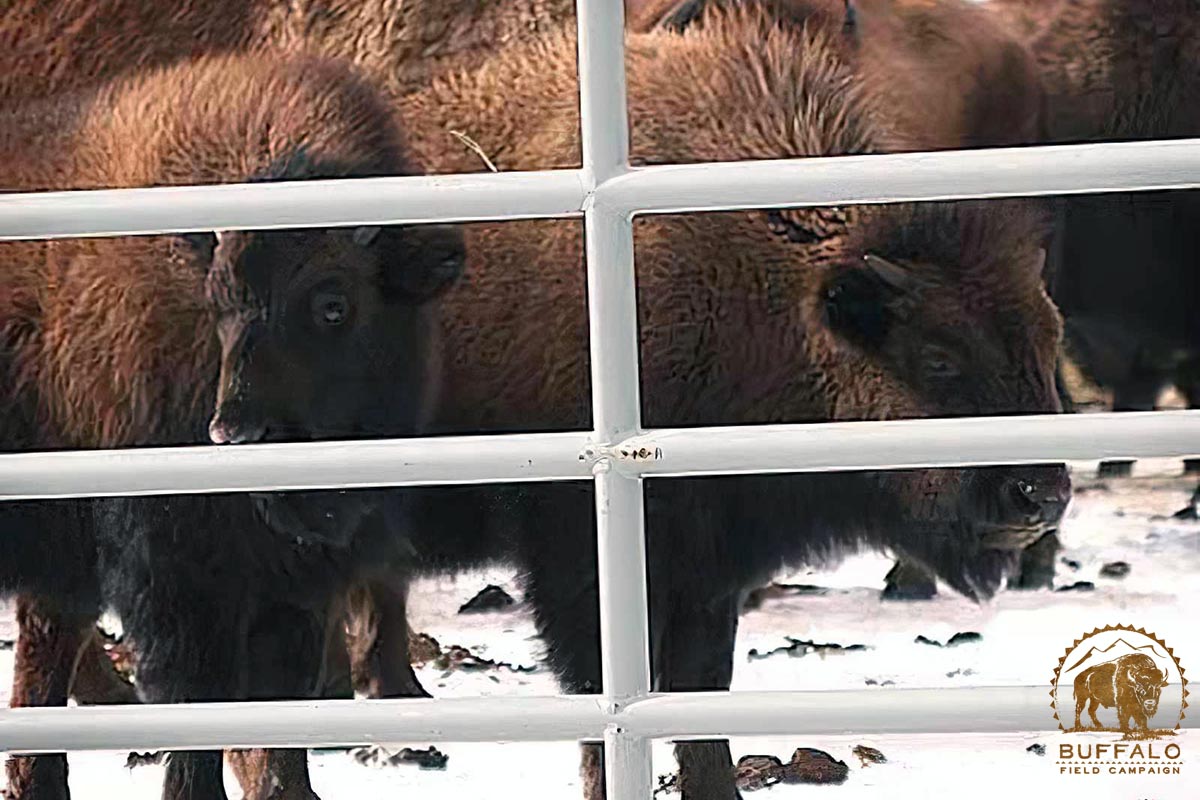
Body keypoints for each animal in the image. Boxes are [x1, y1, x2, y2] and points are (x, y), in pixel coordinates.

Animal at [0, 54, 460, 800]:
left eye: (333, 303)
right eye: (219, 304)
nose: (235, 435)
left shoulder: (291, 588)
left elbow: (276, 718)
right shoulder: (179, 580)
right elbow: (200, 703)